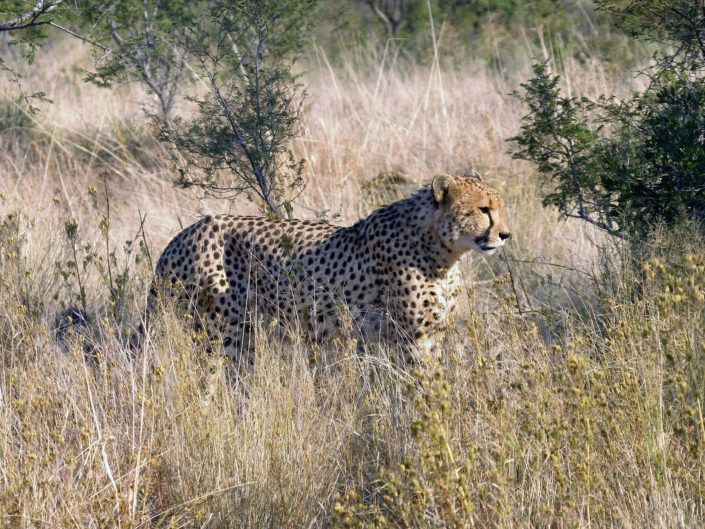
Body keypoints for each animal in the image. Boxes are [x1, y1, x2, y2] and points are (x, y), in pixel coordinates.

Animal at [149, 173, 510, 363]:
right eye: (484, 210)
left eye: (499, 208)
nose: (506, 235)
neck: (443, 252)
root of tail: (188, 231)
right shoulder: (413, 337)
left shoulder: (433, 332)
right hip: (218, 330)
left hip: (245, 334)